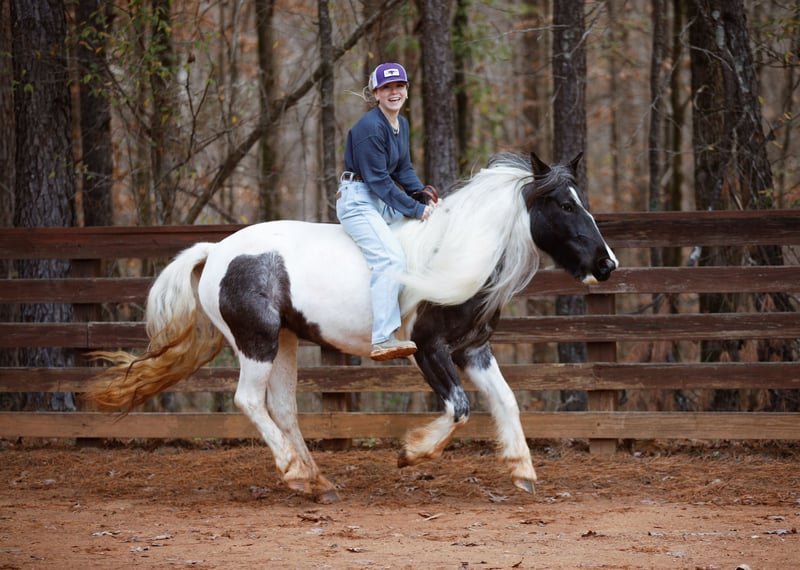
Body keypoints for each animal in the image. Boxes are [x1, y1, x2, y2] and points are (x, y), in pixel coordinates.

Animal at [85, 151, 618, 504]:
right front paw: (411, 455)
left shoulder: (473, 350)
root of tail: (216, 251)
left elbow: (505, 401)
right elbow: (460, 408)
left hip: (284, 342)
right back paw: (294, 473)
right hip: (256, 342)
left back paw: (317, 482)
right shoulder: (429, 350)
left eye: (582, 200)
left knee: (282, 406)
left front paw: (522, 471)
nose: (606, 263)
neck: (455, 254)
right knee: (249, 401)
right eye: (564, 205)